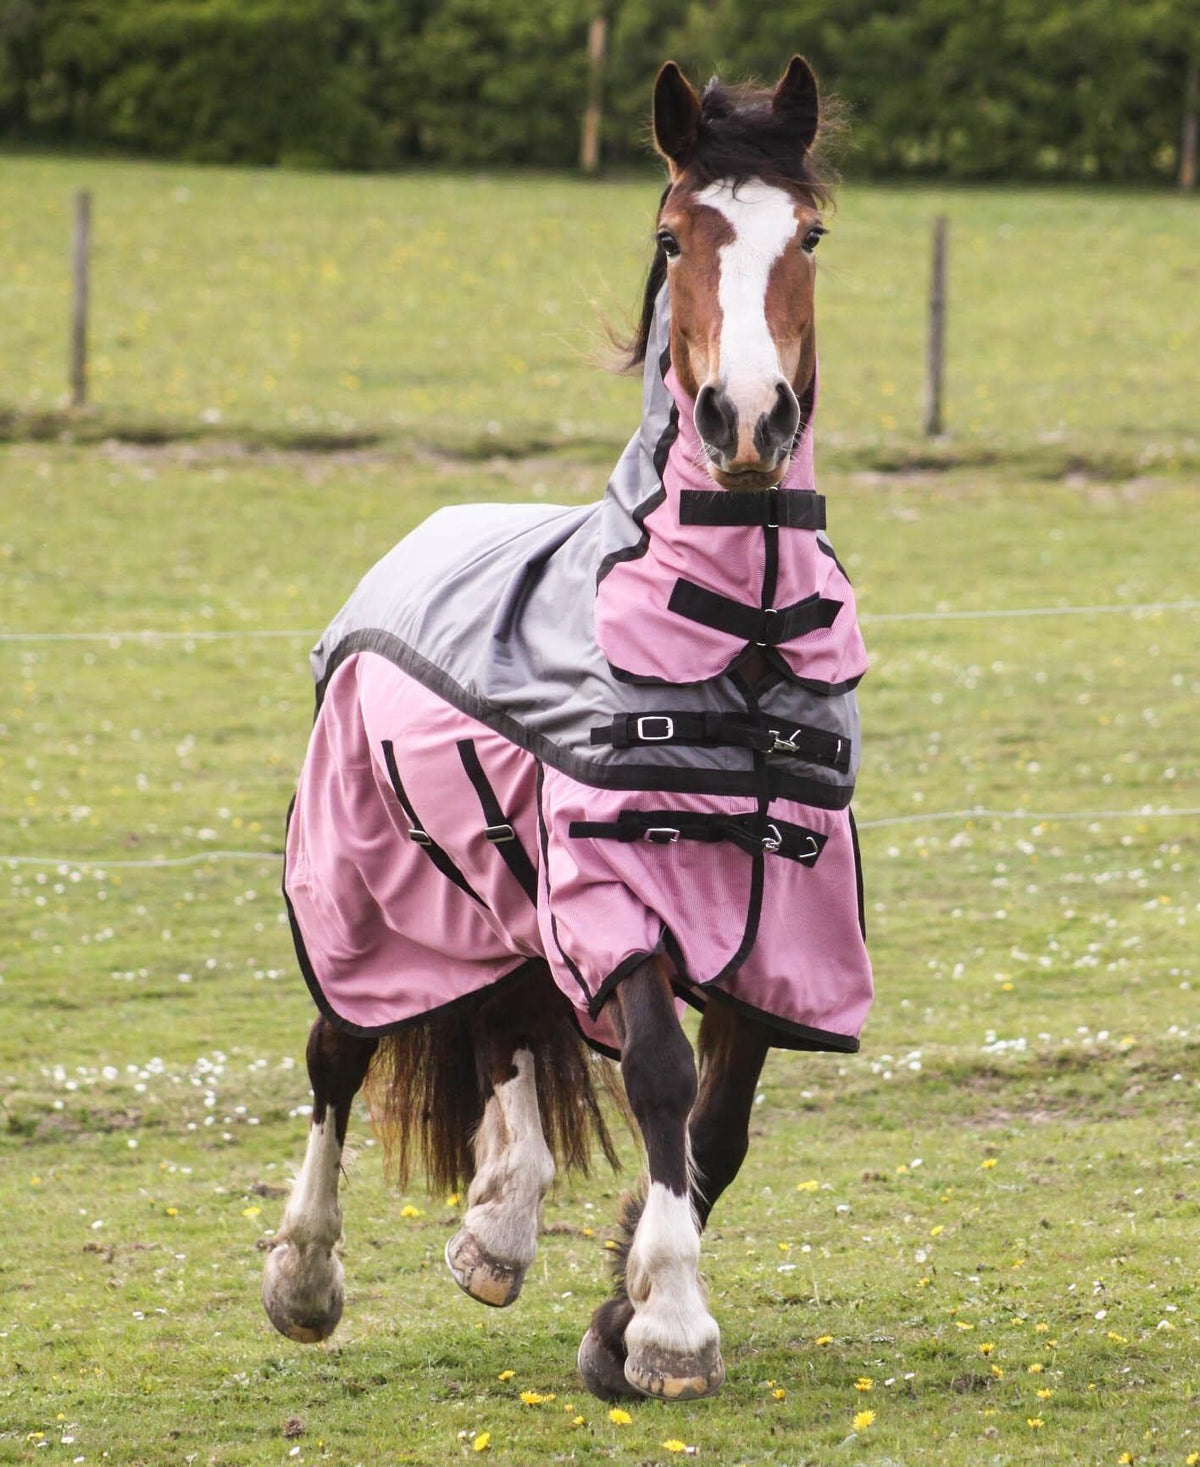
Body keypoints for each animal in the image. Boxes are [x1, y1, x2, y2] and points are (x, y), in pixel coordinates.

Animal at [262, 56, 872, 1405]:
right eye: (673, 233)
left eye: (808, 234)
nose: (746, 419)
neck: (742, 639)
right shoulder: (614, 897)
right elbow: (658, 1078)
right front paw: (672, 1326)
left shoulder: (782, 937)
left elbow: (714, 1128)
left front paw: (618, 1317)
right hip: (358, 893)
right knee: (340, 1050)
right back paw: (307, 1277)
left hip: (493, 897)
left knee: (507, 1023)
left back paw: (498, 1230)